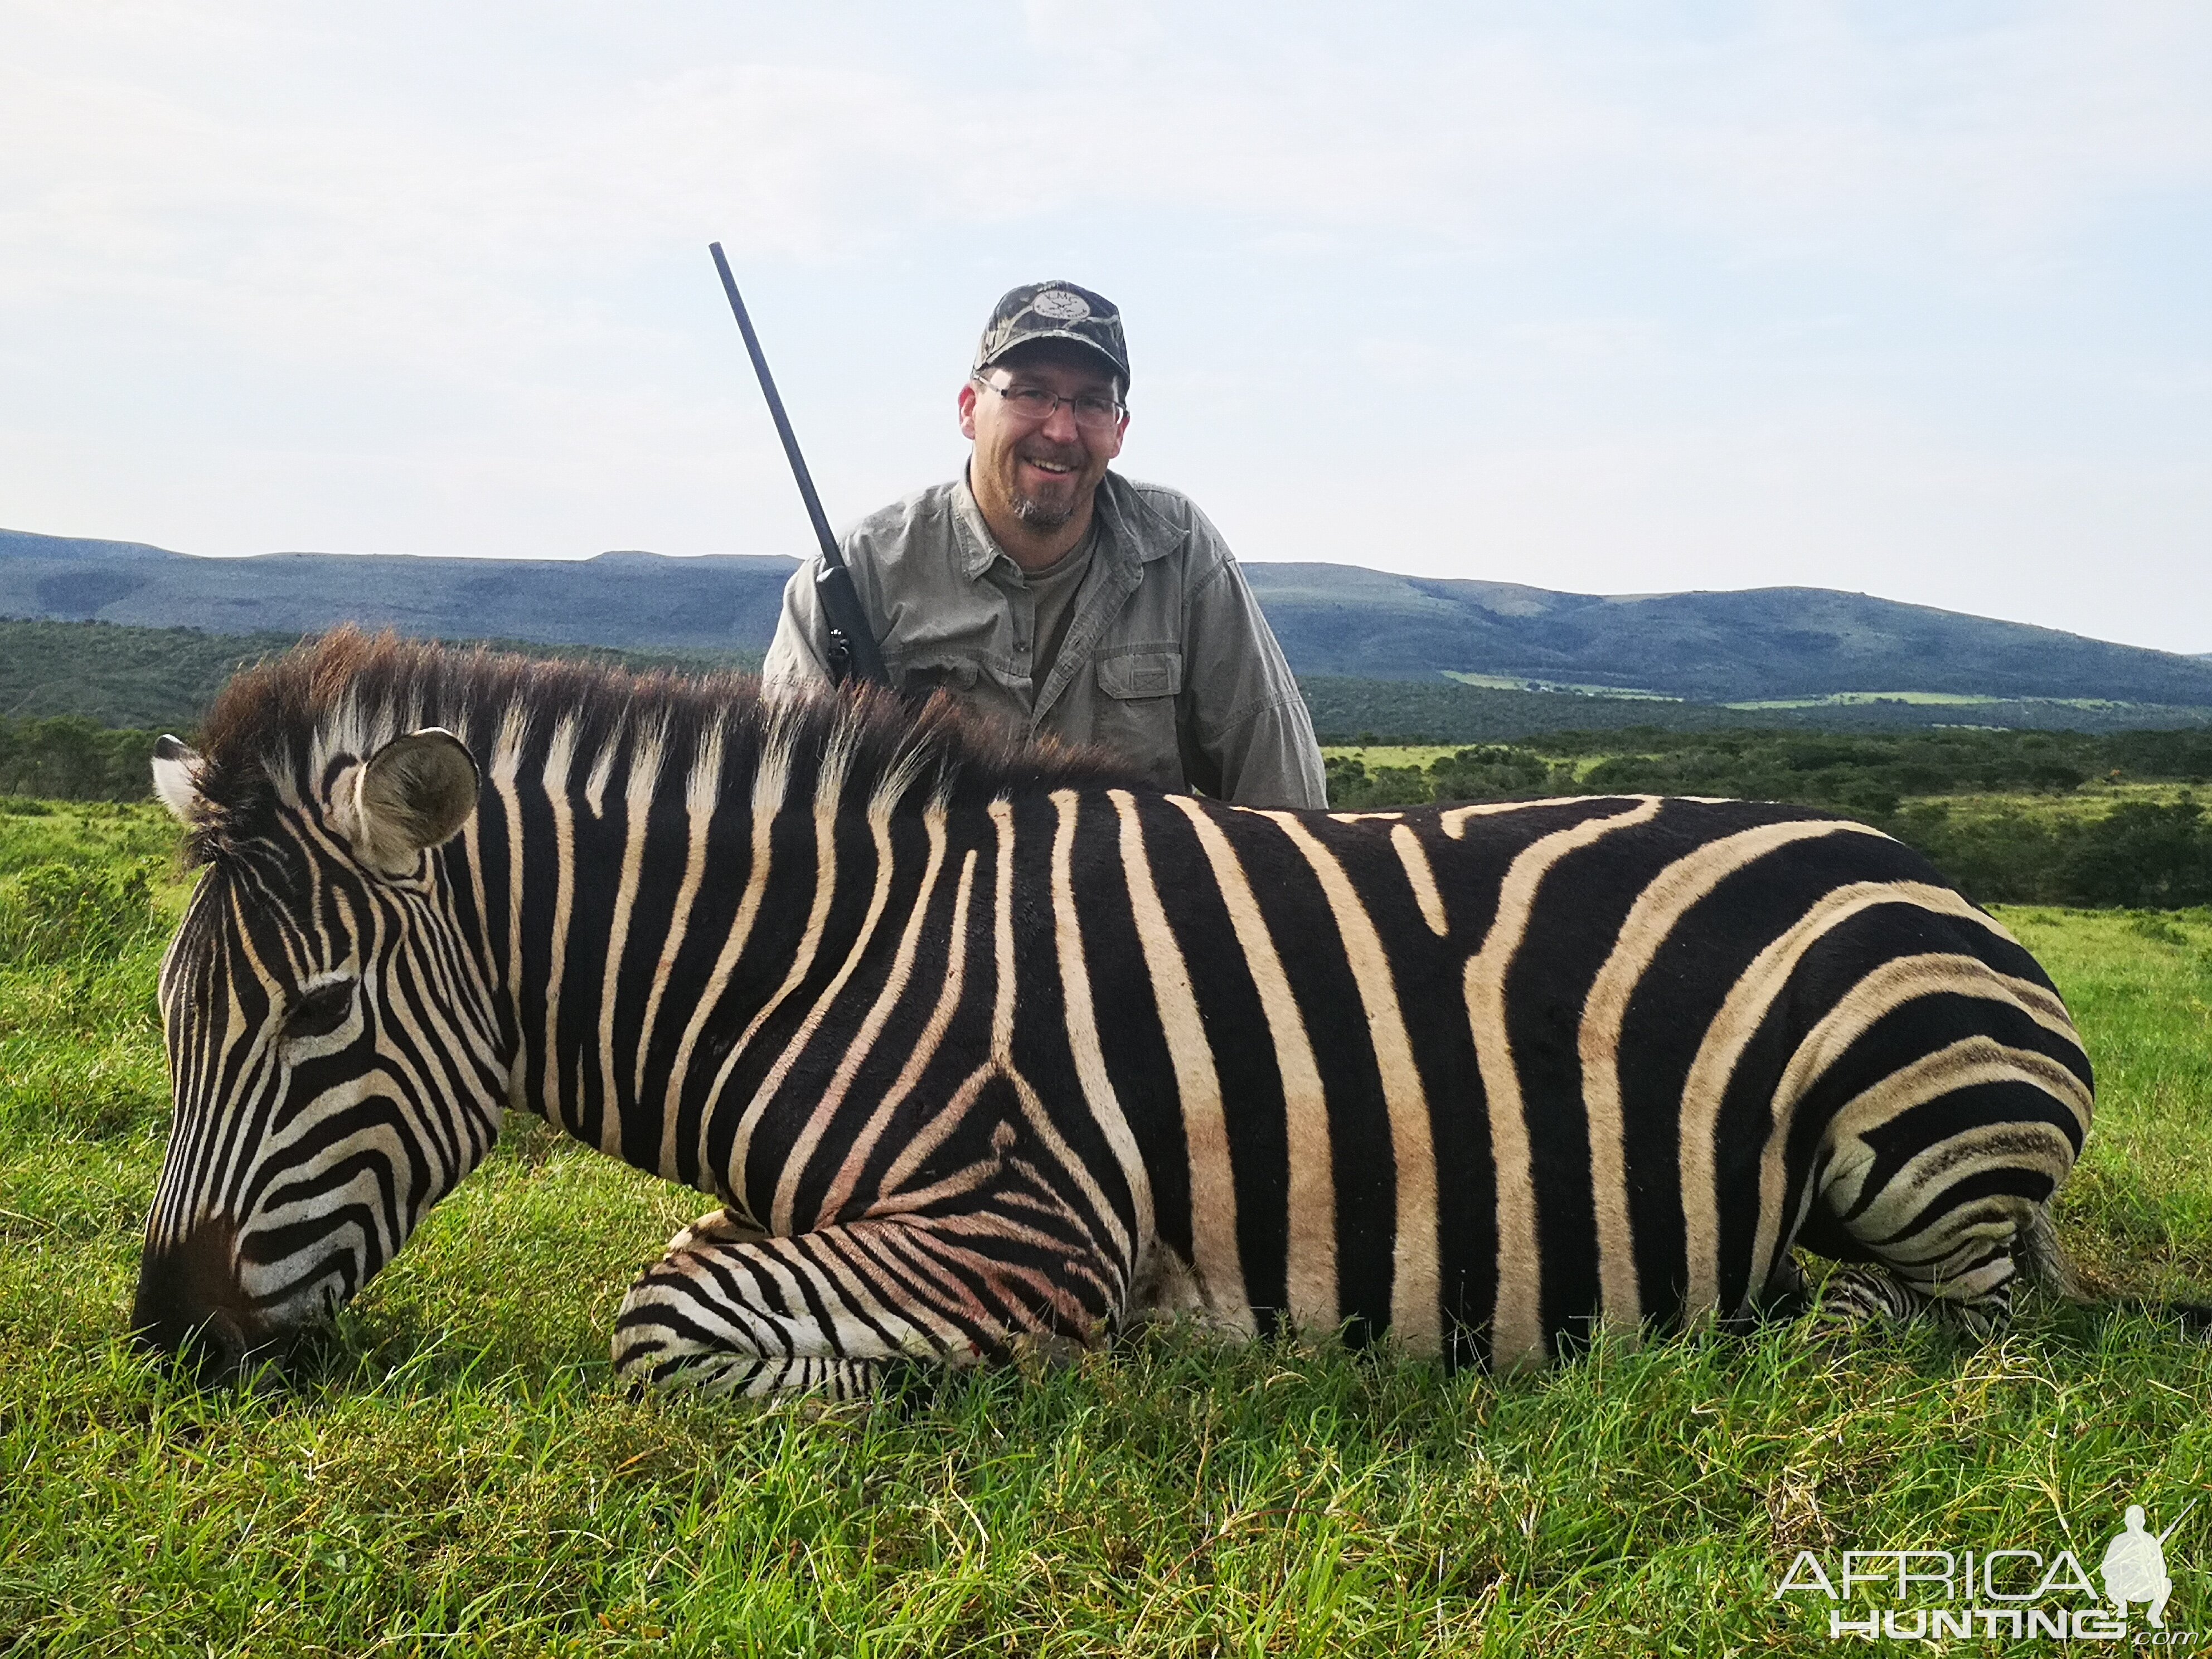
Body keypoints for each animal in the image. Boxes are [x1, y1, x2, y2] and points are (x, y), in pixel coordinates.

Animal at [134, 628, 2106, 1398]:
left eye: (317, 1020)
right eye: (171, 1022)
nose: (164, 1337)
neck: (828, 967)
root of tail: (1919, 865)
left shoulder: (1028, 1218)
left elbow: (663, 1315)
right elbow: (696, 1268)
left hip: (1916, 1146)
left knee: (1960, 1313)